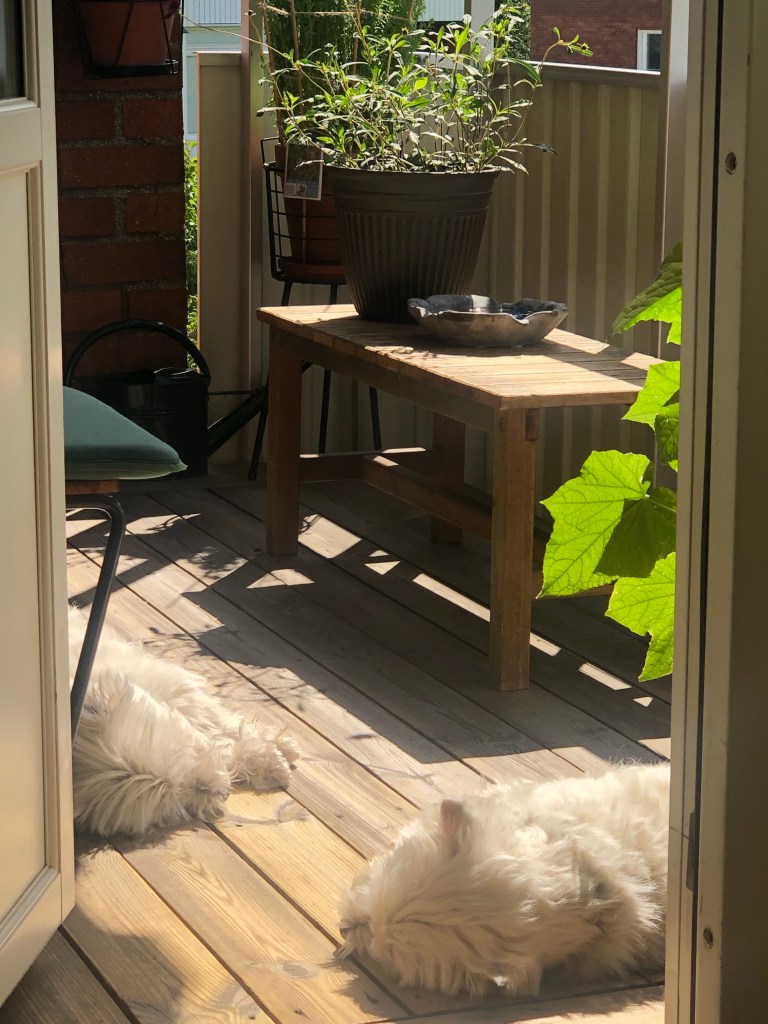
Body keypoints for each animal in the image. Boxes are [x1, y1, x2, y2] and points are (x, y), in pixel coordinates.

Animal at [69, 605, 299, 836]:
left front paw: (280, 757)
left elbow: (224, 725)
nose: (223, 792)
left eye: (180, 755)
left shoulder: (178, 689)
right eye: (165, 801)